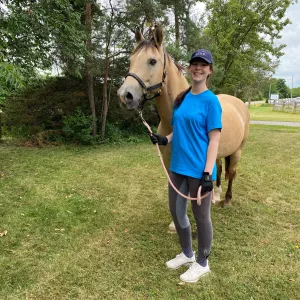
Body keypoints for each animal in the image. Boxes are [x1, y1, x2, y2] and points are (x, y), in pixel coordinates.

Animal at [118, 25, 251, 205]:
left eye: (152, 61)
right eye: (131, 61)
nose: (124, 96)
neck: (172, 123)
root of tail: (239, 103)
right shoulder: (169, 164)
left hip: (237, 151)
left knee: (231, 171)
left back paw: (227, 199)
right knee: (220, 168)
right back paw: (216, 196)